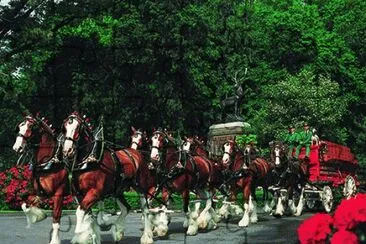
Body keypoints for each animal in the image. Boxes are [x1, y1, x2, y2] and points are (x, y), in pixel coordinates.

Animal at [12, 115, 68, 244]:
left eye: (30, 127)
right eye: (20, 127)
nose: (17, 147)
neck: (47, 164)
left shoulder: (59, 194)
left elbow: (56, 217)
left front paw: (55, 240)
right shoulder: (39, 192)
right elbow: (25, 203)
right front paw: (39, 215)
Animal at [60, 113, 142, 244]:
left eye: (78, 128)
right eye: (65, 128)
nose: (67, 150)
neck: (89, 160)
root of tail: (133, 152)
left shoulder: (94, 193)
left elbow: (80, 212)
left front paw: (80, 235)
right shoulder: (79, 195)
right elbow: (88, 214)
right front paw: (92, 236)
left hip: (142, 187)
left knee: (146, 207)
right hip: (118, 190)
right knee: (126, 208)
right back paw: (118, 232)